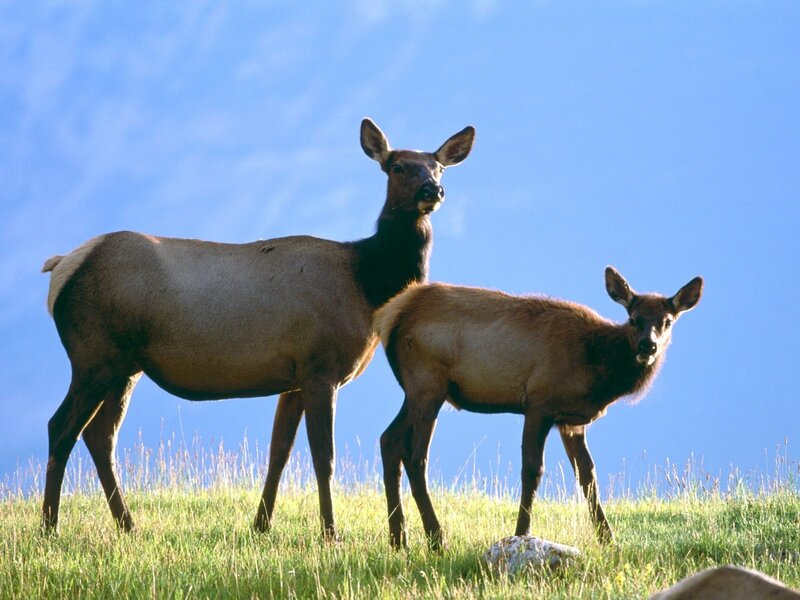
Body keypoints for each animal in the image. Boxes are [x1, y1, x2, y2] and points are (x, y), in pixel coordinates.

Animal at [40, 118, 475, 539]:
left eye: (437, 166)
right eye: (397, 166)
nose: (433, 189)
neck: (368, 286)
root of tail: (61, 268)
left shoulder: (294, 377)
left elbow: (279, 452)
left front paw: (261, 525)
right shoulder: (320, 365)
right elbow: (324, 457)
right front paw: (330, 533)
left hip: (125, 366)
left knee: (99, 435)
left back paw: (127, 524)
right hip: (93, 355)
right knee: (61, 426)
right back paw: (49, 527)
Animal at [373, 266, 703, 549]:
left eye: (668, 321)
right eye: (633, 318)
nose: (648, 346)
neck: (596, 369)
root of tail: (390, 315)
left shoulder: (572, 421)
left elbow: (588, 476)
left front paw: (609, 541)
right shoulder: (539, 402)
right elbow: (532, 469)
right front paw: (521, 534)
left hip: (416, 390)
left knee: (389, 440)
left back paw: (398, 539)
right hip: (429, 383)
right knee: (415, 456)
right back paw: (436, 539)